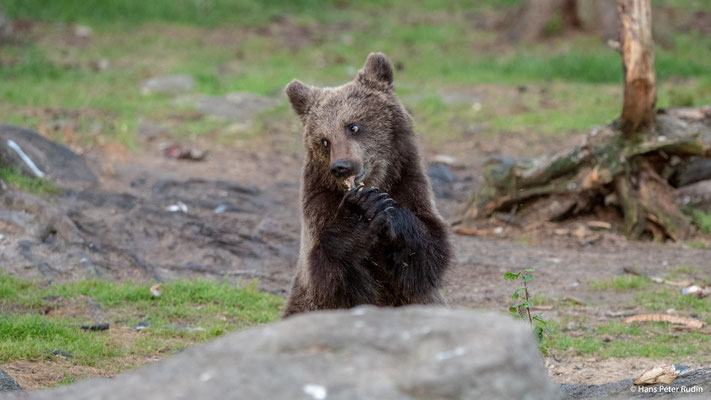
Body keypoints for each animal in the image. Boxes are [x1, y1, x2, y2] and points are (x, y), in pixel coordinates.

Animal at [282, 51, 450, 318]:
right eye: (324, 141)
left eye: (353, 126)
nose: (341, 166)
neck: (375, 180)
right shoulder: (320, 203)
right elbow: (326, 273)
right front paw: (362, 209)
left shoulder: (408, 183)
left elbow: (430, 251)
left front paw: (388, 210)